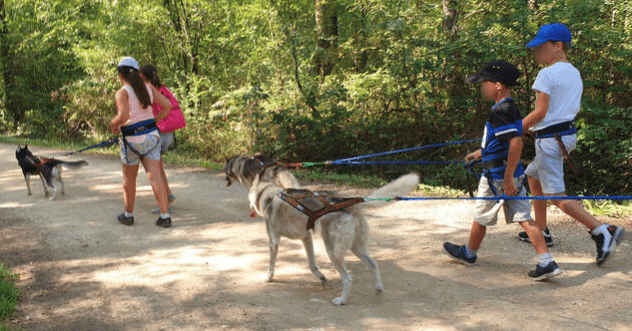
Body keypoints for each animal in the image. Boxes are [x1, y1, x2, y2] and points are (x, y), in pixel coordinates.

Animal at [248, 174, 420, 306]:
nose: (250, 206)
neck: (268, 194)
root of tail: (348, 205)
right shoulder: (306, 237)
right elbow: (311, 264)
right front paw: (321, 278)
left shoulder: (274, 241)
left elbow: (271, 264)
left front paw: (269, 277)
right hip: (356, 248)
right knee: (373, 264)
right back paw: (378, 288)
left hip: (333, 253)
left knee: (348, 278)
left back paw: (342, 300)